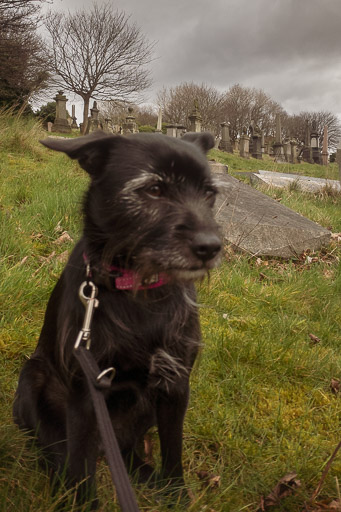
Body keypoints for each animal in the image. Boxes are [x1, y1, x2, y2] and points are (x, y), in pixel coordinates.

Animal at [12, 132, 220, 508]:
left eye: (209, 193)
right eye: (154, 189)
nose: (211, 247)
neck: (138, 291)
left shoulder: (175, 385)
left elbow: (173, 451)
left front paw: (176, 495)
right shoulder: (85, 392)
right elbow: (81, 467)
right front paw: (82, 503)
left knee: (124, 449)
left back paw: (144, 474)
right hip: (33, 377)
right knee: (55, 448)